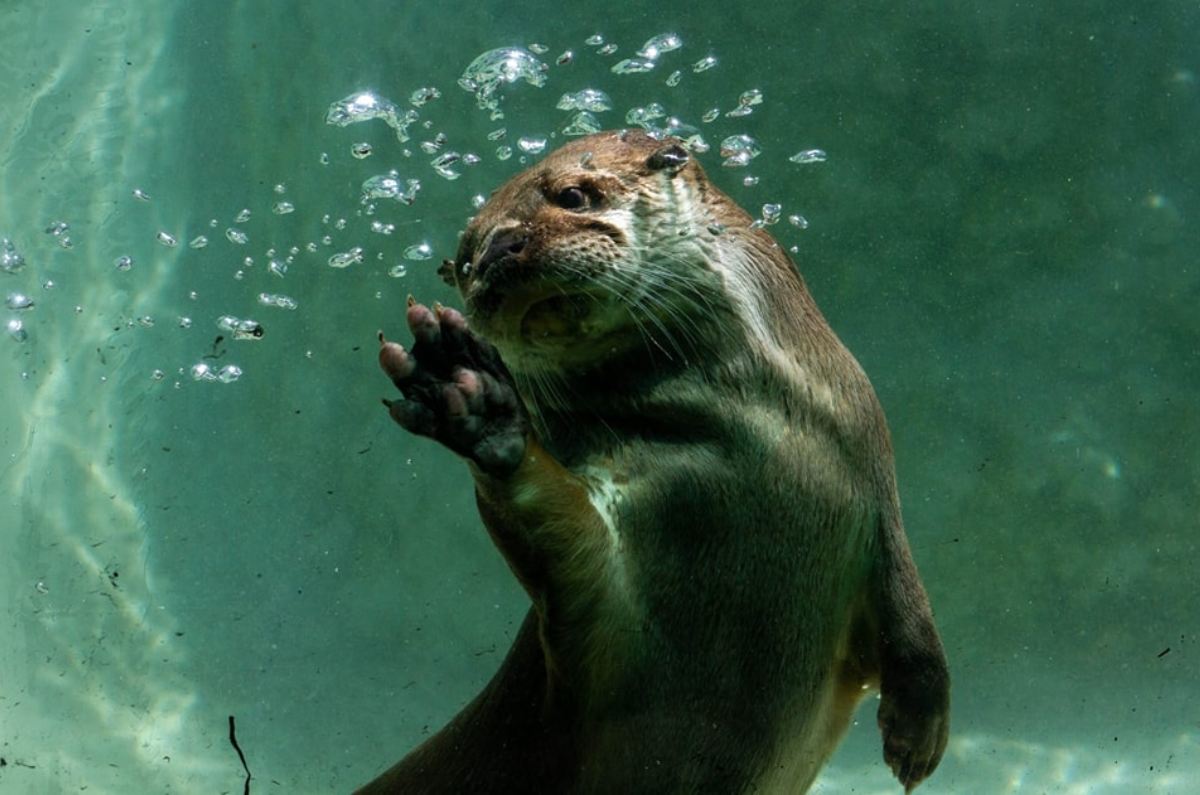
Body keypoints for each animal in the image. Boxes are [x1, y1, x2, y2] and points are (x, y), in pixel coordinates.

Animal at [360, 127, 950, 792]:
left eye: (572, 195)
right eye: (465, 258)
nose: (499, 249)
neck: (760, 439)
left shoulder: (874, 487)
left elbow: (912, 610)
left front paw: (917, 735)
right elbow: (557, 534)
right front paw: (477, 402)